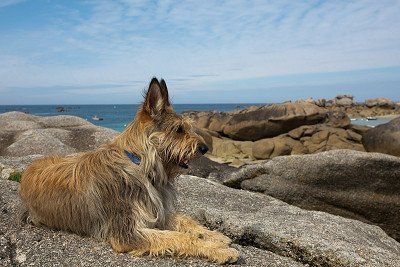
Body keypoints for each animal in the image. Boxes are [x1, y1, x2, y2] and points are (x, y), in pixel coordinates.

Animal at [18, 78, 239, 264]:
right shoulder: (127, 231)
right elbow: (179, 237)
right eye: (178, 130)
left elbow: (185, 221)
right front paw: (218, 249)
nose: (205, 148)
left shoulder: (155, 211)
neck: (138, 162)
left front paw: (214, 235)